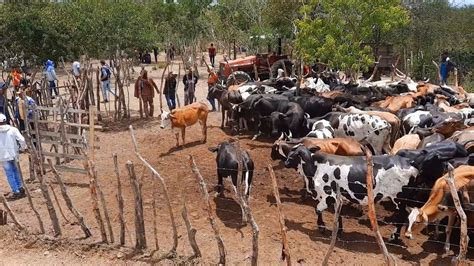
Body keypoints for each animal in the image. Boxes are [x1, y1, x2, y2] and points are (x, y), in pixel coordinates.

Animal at [284, 144, 416, 234]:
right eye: (291, 150)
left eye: (294, 154)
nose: (285, 162)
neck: (315, 169)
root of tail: (407, 161)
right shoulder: (337, 198)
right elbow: (338, 214)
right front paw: (339, 230)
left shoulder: (328, 196)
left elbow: (318, 210)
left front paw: (321, 227)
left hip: (399, 198)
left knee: (402, 217)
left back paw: (394, 237)